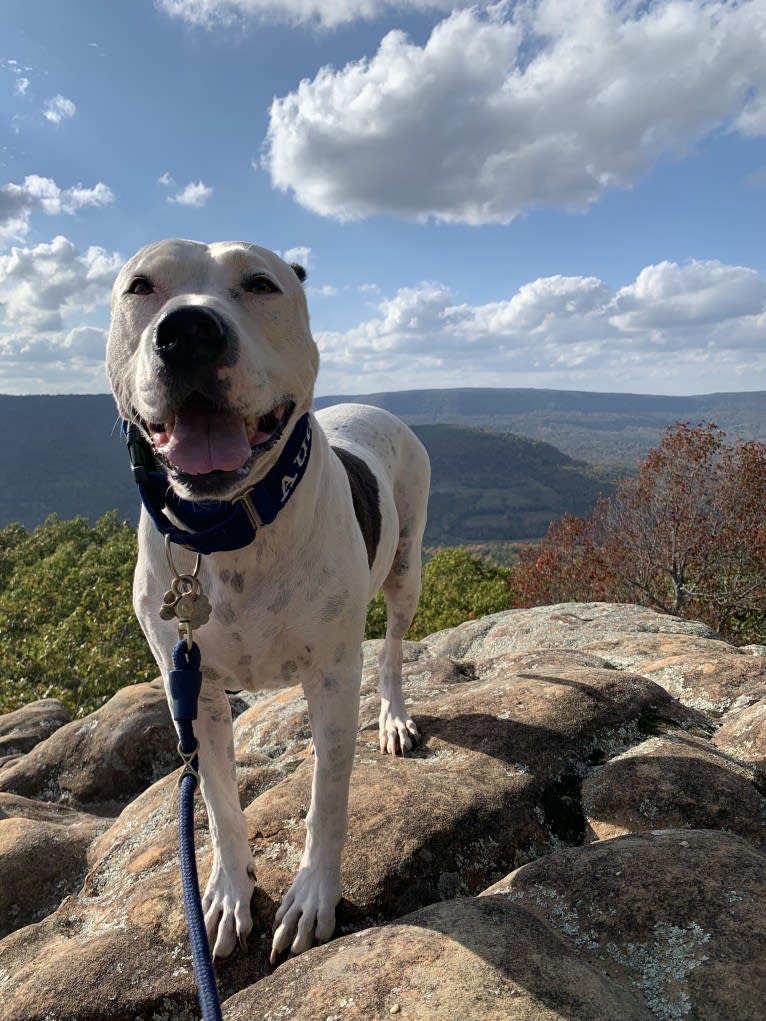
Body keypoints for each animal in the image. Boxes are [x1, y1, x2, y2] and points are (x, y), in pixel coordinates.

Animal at [106, 238, 433, 963]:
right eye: (140, 285)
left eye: (261, 283)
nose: (188, 331)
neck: (226, 529)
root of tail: (374, 406)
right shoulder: (192, 687)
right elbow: (219, 802)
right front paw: (228, 892)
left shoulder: (332, 678)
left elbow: (328, 796)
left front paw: (313, 895)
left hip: (406, 567)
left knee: (394, 651)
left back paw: (394, 716)